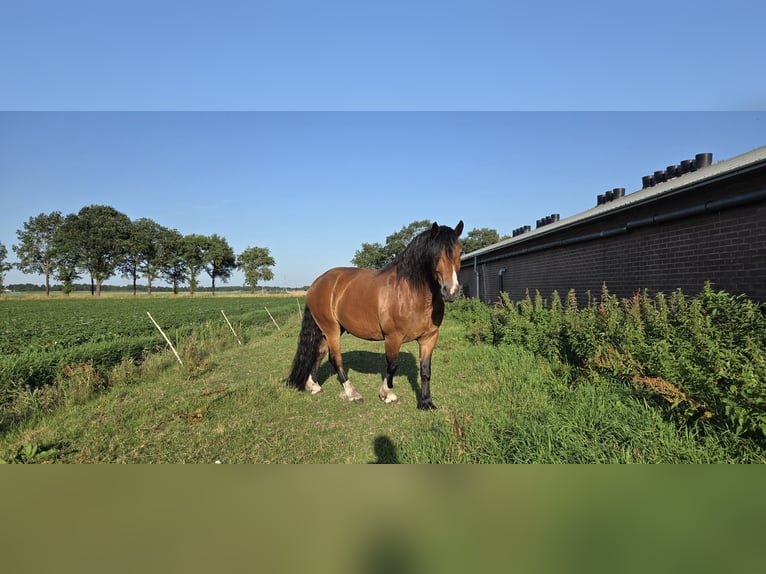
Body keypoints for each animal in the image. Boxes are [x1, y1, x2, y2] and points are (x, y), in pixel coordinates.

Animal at [285, 220, 464, 410]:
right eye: (435, 254)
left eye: (460, 252)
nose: (451, 291)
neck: (410, 293)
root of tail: (316, 284)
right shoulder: (393, 338)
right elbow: (392, 365)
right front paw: (388, 394)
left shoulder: (429, 338)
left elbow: (425, 370)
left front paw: (426, 402)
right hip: (331, 329)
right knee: (335, 358)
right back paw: (352, 393)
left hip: (332, 329)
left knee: (319, 352)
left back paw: (314, 386)